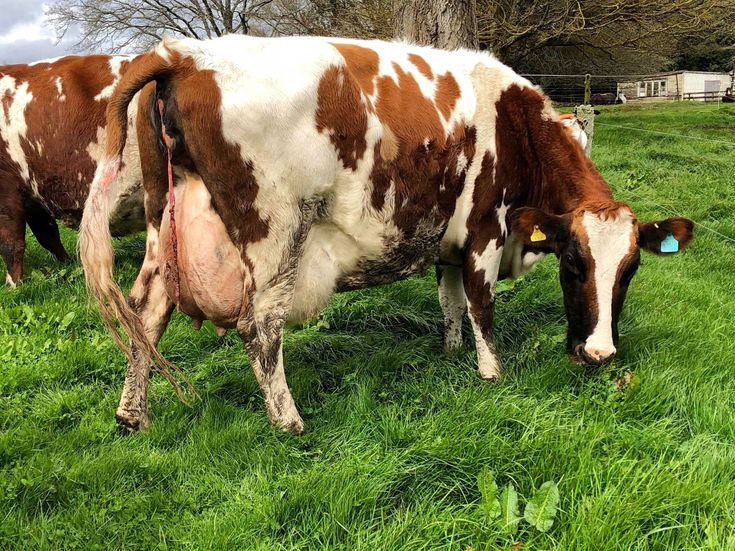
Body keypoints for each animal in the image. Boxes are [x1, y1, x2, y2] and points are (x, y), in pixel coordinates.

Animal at [0, 54, 148, 286]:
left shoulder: (7, 186)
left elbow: (11, 243)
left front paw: (14, 285)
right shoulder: (33, 196)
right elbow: (47, 234)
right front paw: (67, 265)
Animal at [79, 36, 694, 433]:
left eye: (631, 270)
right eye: (573, 264)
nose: (599, 353)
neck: (513, 121)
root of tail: (181, 54)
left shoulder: (447, 239)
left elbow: (450, 301)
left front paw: (450, 351)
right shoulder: (484, 229)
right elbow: (482, 305)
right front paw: (490, 372)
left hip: (163, 225)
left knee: (145, 313)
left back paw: (132, 414)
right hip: (273, 236)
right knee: (261, 329)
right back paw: (289, 421)